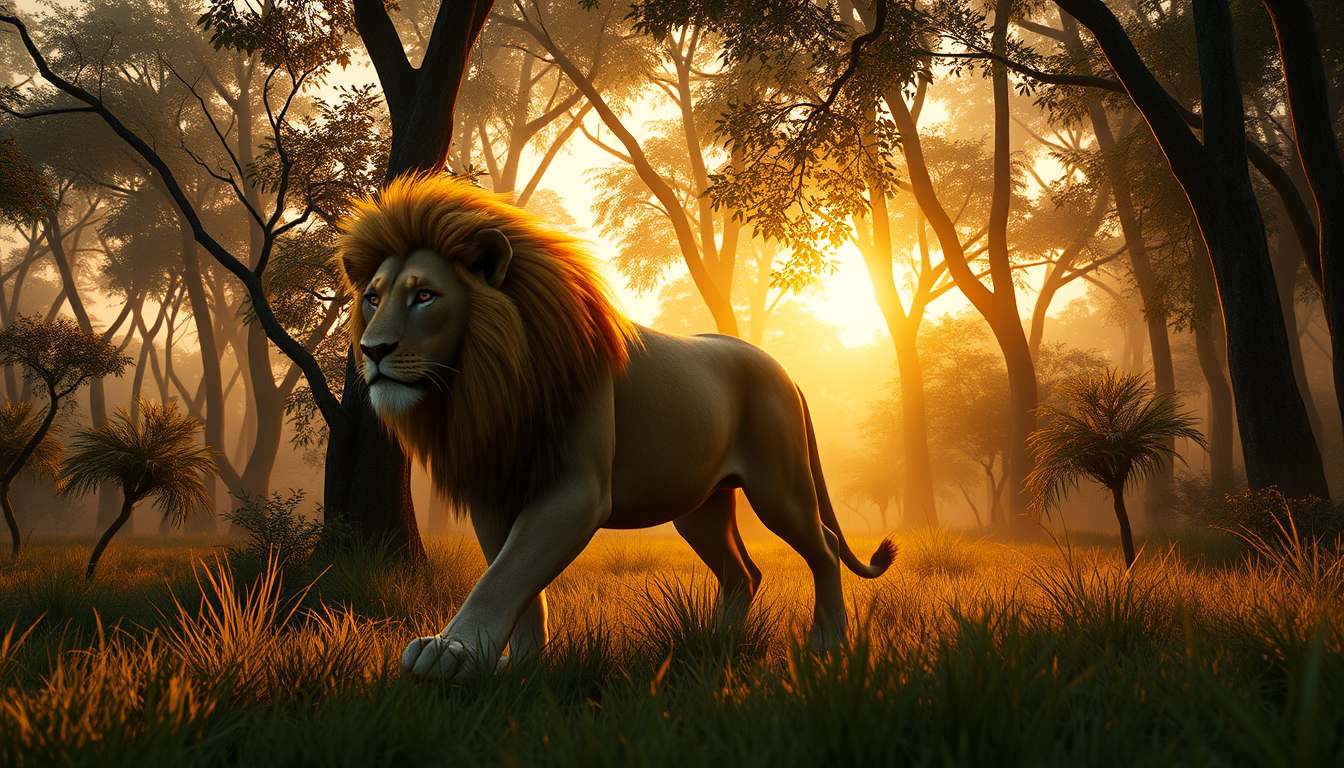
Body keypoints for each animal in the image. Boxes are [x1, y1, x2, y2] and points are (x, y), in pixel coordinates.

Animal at [335, 174, 896, 678]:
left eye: (425, 296)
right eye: (372, 297)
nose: (372, 350)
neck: (490, 381)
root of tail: (785, 371)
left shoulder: (577, 492)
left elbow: (506, 574)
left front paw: (451, 651)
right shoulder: (495, 492)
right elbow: (516, 580)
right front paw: (521, 667)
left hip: (778, 487)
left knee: (824, 546)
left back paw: (827, 644)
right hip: (699, 505)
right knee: (744, 572)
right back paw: (715, 646)